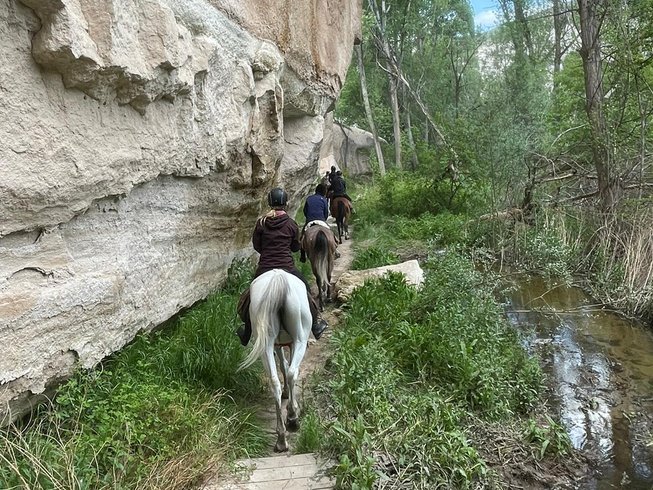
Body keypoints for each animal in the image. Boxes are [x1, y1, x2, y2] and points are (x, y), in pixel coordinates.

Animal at [238, 268, 312, 452]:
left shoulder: (278, 345)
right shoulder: (290, 343)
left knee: (274, 381)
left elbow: (282, 366)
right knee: (292, 372)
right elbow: (287, 366)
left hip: (266, 345)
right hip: (300, 339)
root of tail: (279, 280)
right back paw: (292, 419)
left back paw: (281, 439)